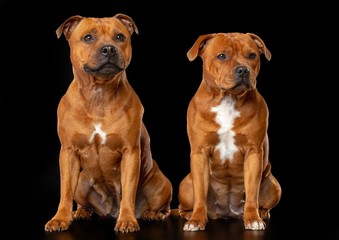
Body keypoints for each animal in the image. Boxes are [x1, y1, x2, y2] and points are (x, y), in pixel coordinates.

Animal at [43, 14, 173, 233]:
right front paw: (60, 218)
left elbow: (128, 191)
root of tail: (109, 211)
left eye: (120, 36)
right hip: (81, 182)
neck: (99, 94)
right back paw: (81, 212)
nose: (109, 49)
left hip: (162, 185)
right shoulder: (68, 152)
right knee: (82, 200)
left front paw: (127, 220)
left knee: (164, 206)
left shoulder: (130, 152)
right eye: (88, 37)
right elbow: (65, 191)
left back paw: (152, 214)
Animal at [178, 31, 282, 231]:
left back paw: (262, 213)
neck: (228, 100)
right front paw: (196, 220)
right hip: (185, 187)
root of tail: (226, 213)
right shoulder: (200, 152)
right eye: (221, 56)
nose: (243, 70)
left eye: (252, 55)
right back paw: (188, 215)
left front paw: (253, 218)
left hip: (274, 186)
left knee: (262, 201)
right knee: (183, 206)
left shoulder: (253, 153)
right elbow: (200, 193)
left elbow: (252, 192)